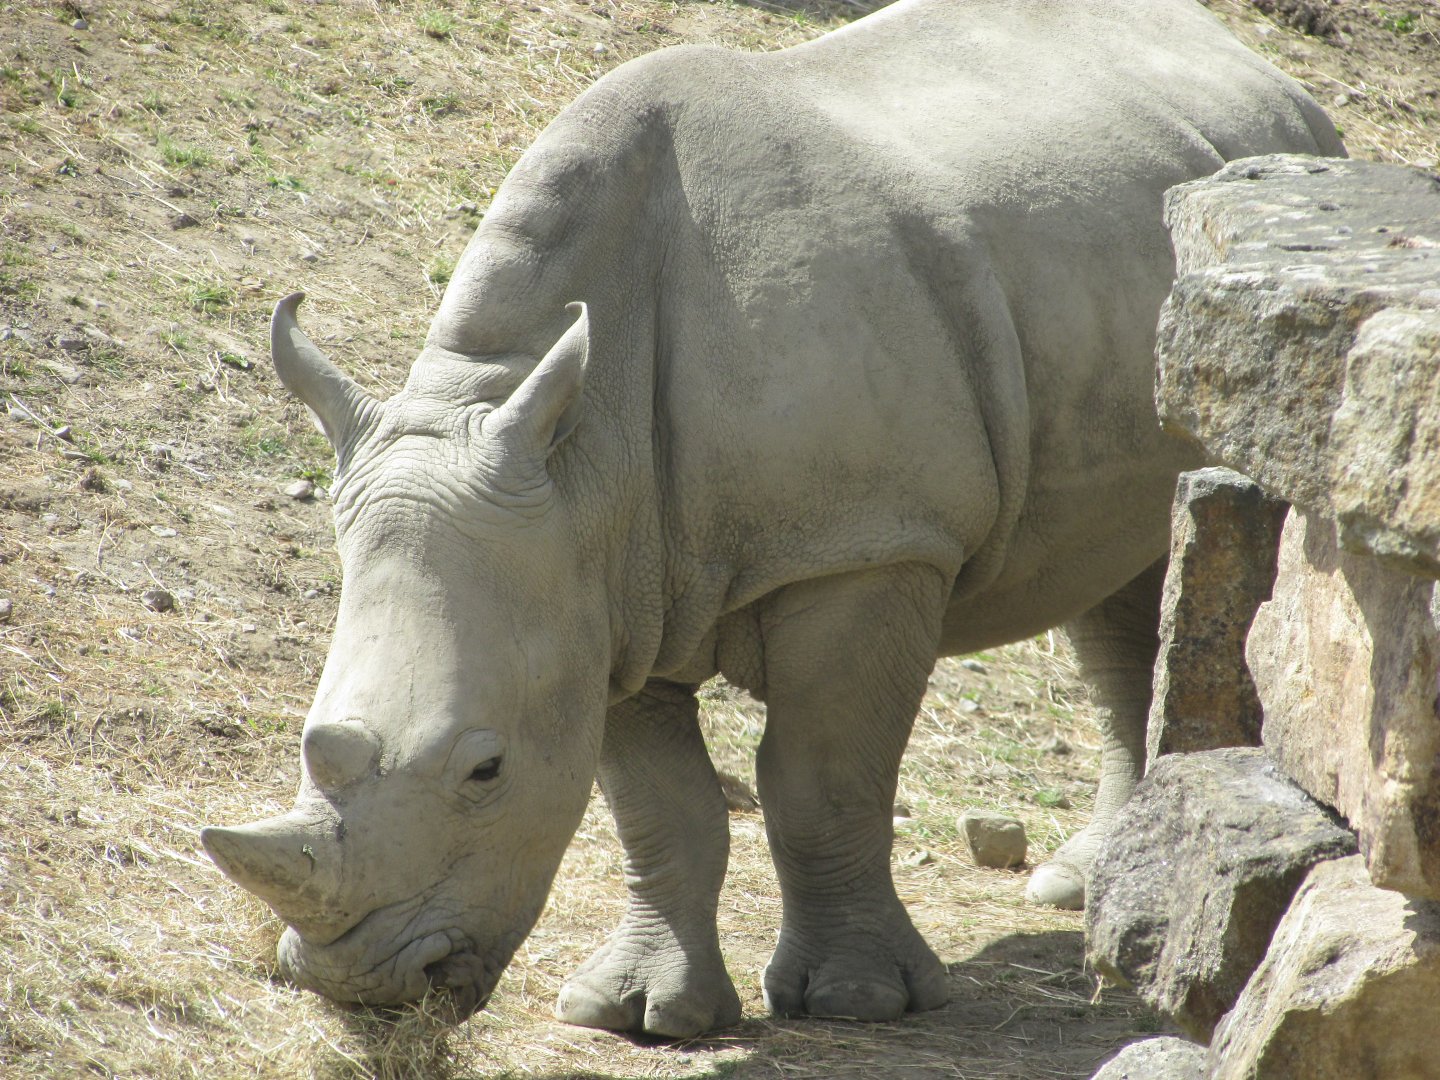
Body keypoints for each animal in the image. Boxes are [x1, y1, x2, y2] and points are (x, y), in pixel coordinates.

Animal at [200, 0, 1341, 1038]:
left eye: (486, 771)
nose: (358, 986)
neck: (578, 449)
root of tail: (1265, 71)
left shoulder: (863, 546)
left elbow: (817, 782)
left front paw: (857, 1002)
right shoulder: (598, 582)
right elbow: (660, 808)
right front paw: (637, 1013)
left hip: (1266, 252)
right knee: (1111, 570)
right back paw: (1081, 886)